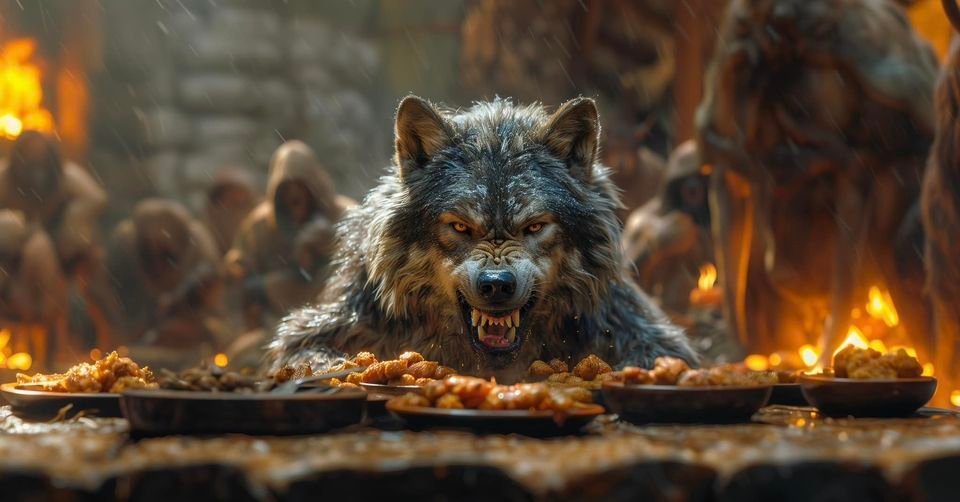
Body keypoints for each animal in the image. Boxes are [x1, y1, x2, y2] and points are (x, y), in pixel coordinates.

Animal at [267, 96, 696, 380]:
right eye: (460, 227)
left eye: (534, 227)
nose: (496, 285)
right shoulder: (323, 328)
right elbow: (312, 357)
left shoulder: (644, 335)